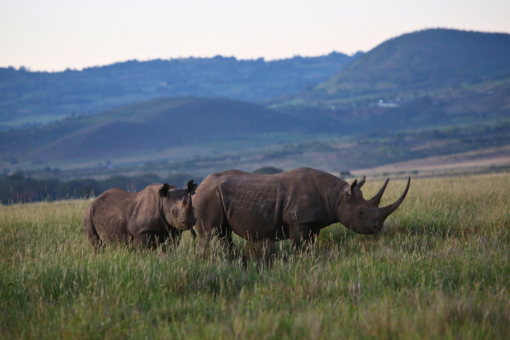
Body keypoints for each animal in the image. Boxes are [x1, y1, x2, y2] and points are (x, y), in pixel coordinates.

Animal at [192, 169, 410, 251]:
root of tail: (199, 186)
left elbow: (309, 244)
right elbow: (298, 245)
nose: (377, 228)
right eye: (360, 213)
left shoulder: (314, 223)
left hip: (214, 195)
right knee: (208, 233)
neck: (336, 197)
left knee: (223, 233)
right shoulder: (299, 221)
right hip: (208, 196)